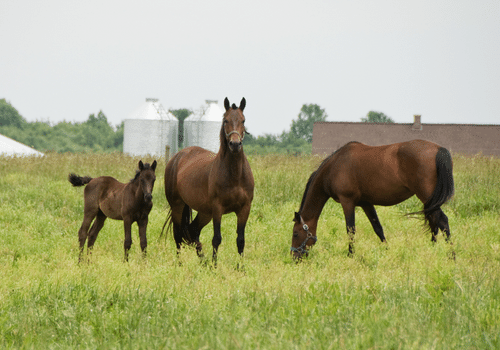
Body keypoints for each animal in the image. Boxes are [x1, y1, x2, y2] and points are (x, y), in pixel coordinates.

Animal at [164, 97, 254, 262]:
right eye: (225, 120)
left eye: (243, 120)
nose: (235, 144)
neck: (235, 175)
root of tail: (177, 157)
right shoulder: (218, 208)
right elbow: (216, 238)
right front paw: (214, 265)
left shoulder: (244, 208)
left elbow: (241, 240)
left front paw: (241, 267)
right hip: (177, 206)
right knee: (178, 235)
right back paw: (180, 264)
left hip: (204, 212)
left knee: (193, 230)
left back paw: (202, 261)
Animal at [292, 140, 456, 260]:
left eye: (295, 234)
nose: (294, 257)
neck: (334, 167)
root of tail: (439, 149)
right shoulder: (366, 203)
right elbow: (378, 228)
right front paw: (387, 251)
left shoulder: (347, 202)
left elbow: (350, 230)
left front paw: (350, 255)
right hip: (429, 201)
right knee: (434, 222)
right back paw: (432, 251)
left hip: (426, 196)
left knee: (442, 221)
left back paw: (452, 255)